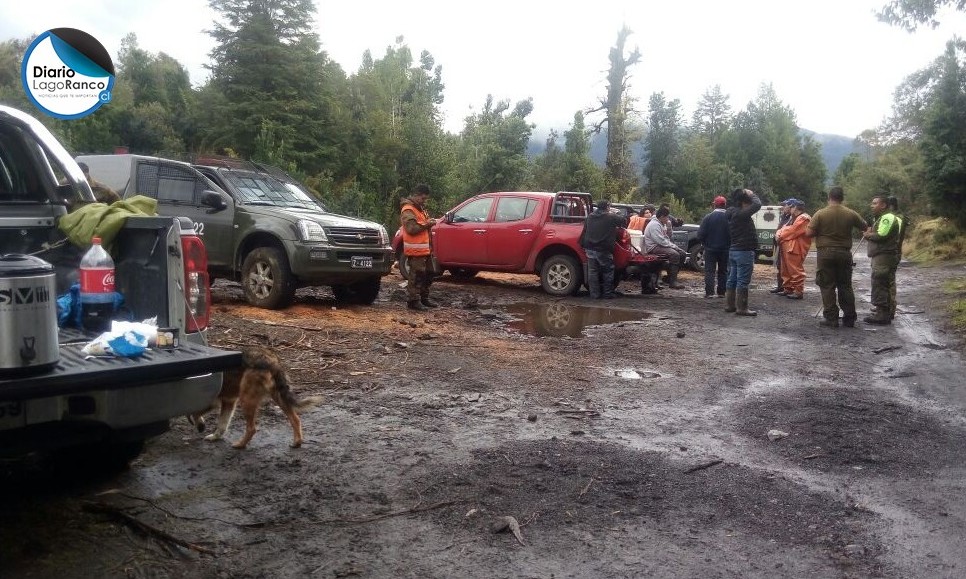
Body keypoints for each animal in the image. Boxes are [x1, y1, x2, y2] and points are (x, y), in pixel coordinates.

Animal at [188, 346, 322, 450]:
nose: (200, 429)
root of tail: (271, 359)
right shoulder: (229, 401)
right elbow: (222, 424)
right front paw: (215, 436)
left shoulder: (213, 401)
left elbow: (196, 413)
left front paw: (200, 424)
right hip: (277, 396)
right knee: (295, 419)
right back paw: (297, 442)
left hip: (246, 400)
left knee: (251, 429)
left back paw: (240, 445)